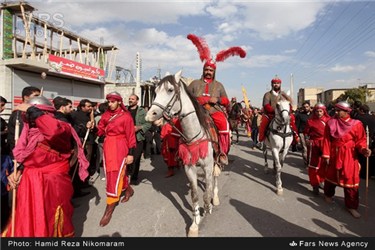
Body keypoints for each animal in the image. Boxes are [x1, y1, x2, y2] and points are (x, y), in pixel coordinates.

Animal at [145, 70, 220, 236]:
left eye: (170, 90)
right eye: (155, 91)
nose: (150, 115)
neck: (195, 134)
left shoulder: (207, 165)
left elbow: (207, 191)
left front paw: (208, 205)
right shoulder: (189, 167)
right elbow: (194, 195)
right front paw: (194, 223)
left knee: (215, 177)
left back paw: (215, 196)